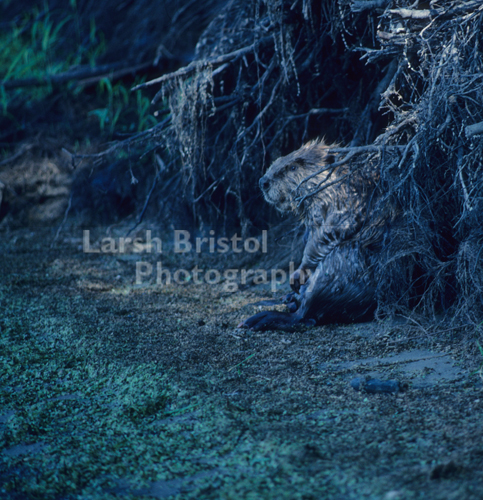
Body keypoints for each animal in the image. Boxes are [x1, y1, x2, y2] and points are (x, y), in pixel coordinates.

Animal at [238, 139, 394, 330]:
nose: (263, 182)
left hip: (340, 267)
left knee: (305, 315)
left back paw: (256, 319)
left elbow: (326, 234)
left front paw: (296, 276)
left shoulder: (341, 201)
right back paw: (287, 299)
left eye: (293, 167)